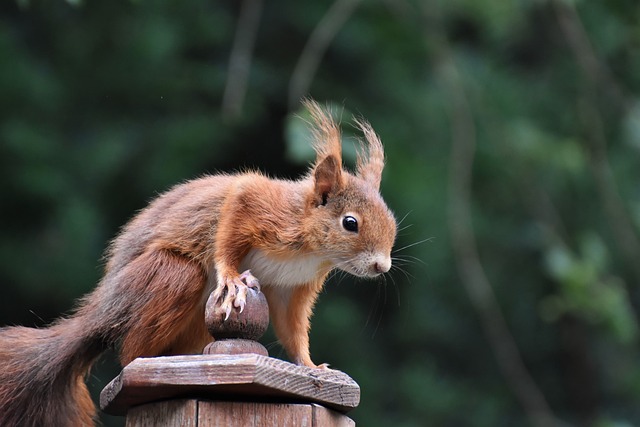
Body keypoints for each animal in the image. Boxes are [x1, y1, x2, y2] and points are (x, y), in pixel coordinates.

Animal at [0, 101, 398, 427]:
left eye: (391, 221)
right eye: (350, 223)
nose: (382, 266)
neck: (312, 250)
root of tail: (102, 312)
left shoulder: (294, 288)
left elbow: (293, 328)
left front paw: (314, 368)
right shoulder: (259, 206)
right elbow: (229, 228)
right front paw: (232, 278)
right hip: (168, 275)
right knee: (130, 352)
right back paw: (150, 361)